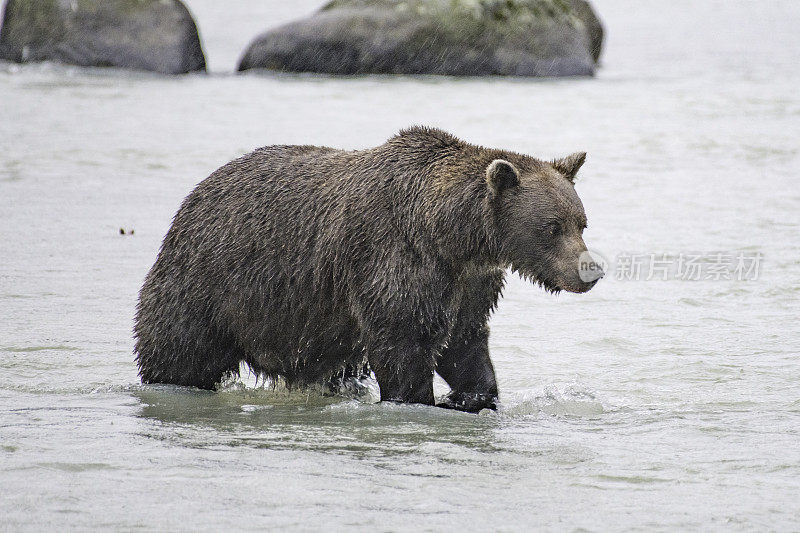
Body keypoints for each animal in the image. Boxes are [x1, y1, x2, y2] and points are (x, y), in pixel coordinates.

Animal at [136, 125, 600, 412]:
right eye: (552, 227)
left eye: (581, 222)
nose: (590, 270)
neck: (451, 236)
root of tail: (194, 195)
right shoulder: (396, 260)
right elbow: (403, 341)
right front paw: (419, 398)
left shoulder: (468, 282)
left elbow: (464, 341)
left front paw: (474, 396)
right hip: (208, 281)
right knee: (179, 349)